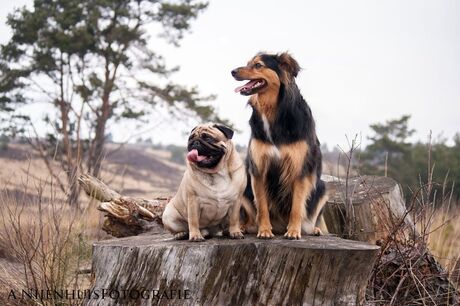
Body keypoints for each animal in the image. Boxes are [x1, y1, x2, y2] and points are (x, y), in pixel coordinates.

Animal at [234, 52, 328, 239]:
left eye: (258, 65)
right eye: (248, 63)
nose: (232, 72)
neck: (273, 112)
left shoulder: (299, 169)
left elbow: (297, 206)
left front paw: (293, 231)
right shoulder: (258, 170)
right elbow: (262, 206)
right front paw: (264, 230)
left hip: (322, 187)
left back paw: (313, 229)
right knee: (249, 218)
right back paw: (243, 227)